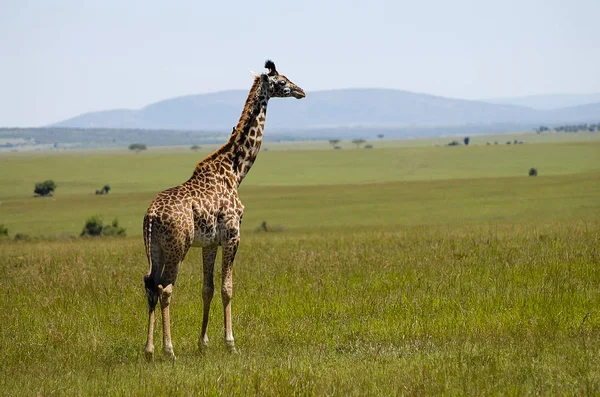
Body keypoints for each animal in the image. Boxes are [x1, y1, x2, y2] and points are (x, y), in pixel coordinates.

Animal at [142, 59, 304, 358]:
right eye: (282, 82)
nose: (302, 91)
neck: (235, 171)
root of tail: (151, 216)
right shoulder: (232, 235)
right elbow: (228, 288)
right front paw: (231, 343)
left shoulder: (209, 243)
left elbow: (207, 288)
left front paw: (203, 343)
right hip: (177, 247)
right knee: (165, 288)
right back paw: (169, 350)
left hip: (156, 249)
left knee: (149, 284)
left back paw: (148, 350)